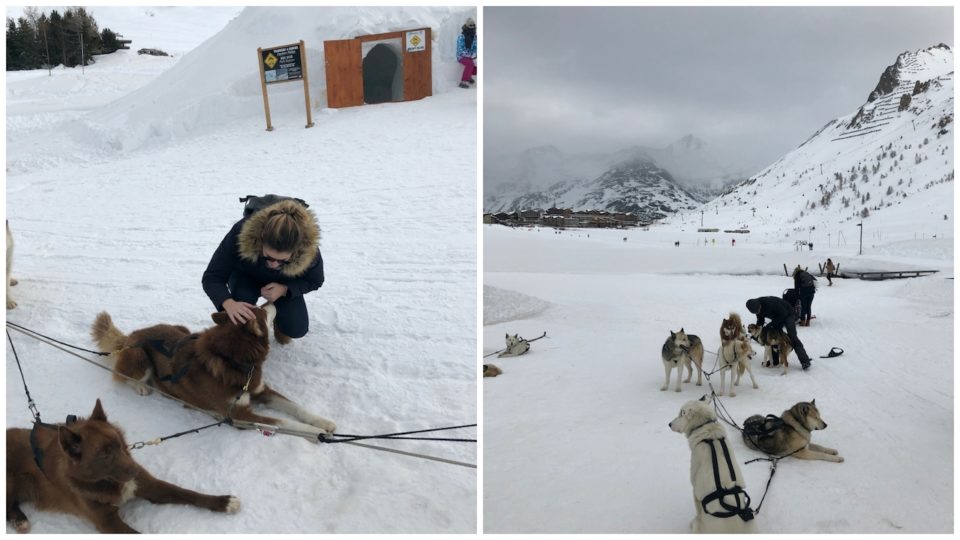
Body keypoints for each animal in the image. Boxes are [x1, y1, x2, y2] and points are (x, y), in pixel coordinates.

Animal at [6, 398, 239, 532]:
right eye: (103, 455)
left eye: (119, 444)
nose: (135, 471)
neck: (109, 482)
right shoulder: (107, 521)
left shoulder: (150, 485)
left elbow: (185, 492)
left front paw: (224, 502)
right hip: (10, 479)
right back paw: (20, 520)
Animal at [90, 304, 336, 438]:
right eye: (263, 311)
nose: (274, 300)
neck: (233, 361)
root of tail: (130, 336)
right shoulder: (240, 416)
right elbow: (284, 422)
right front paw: (317, 434)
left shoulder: (260, 391)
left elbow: (296, 408)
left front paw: (323, 422)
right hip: (139, 355)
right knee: (123, 375)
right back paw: (141, 386)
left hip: (181, 329)